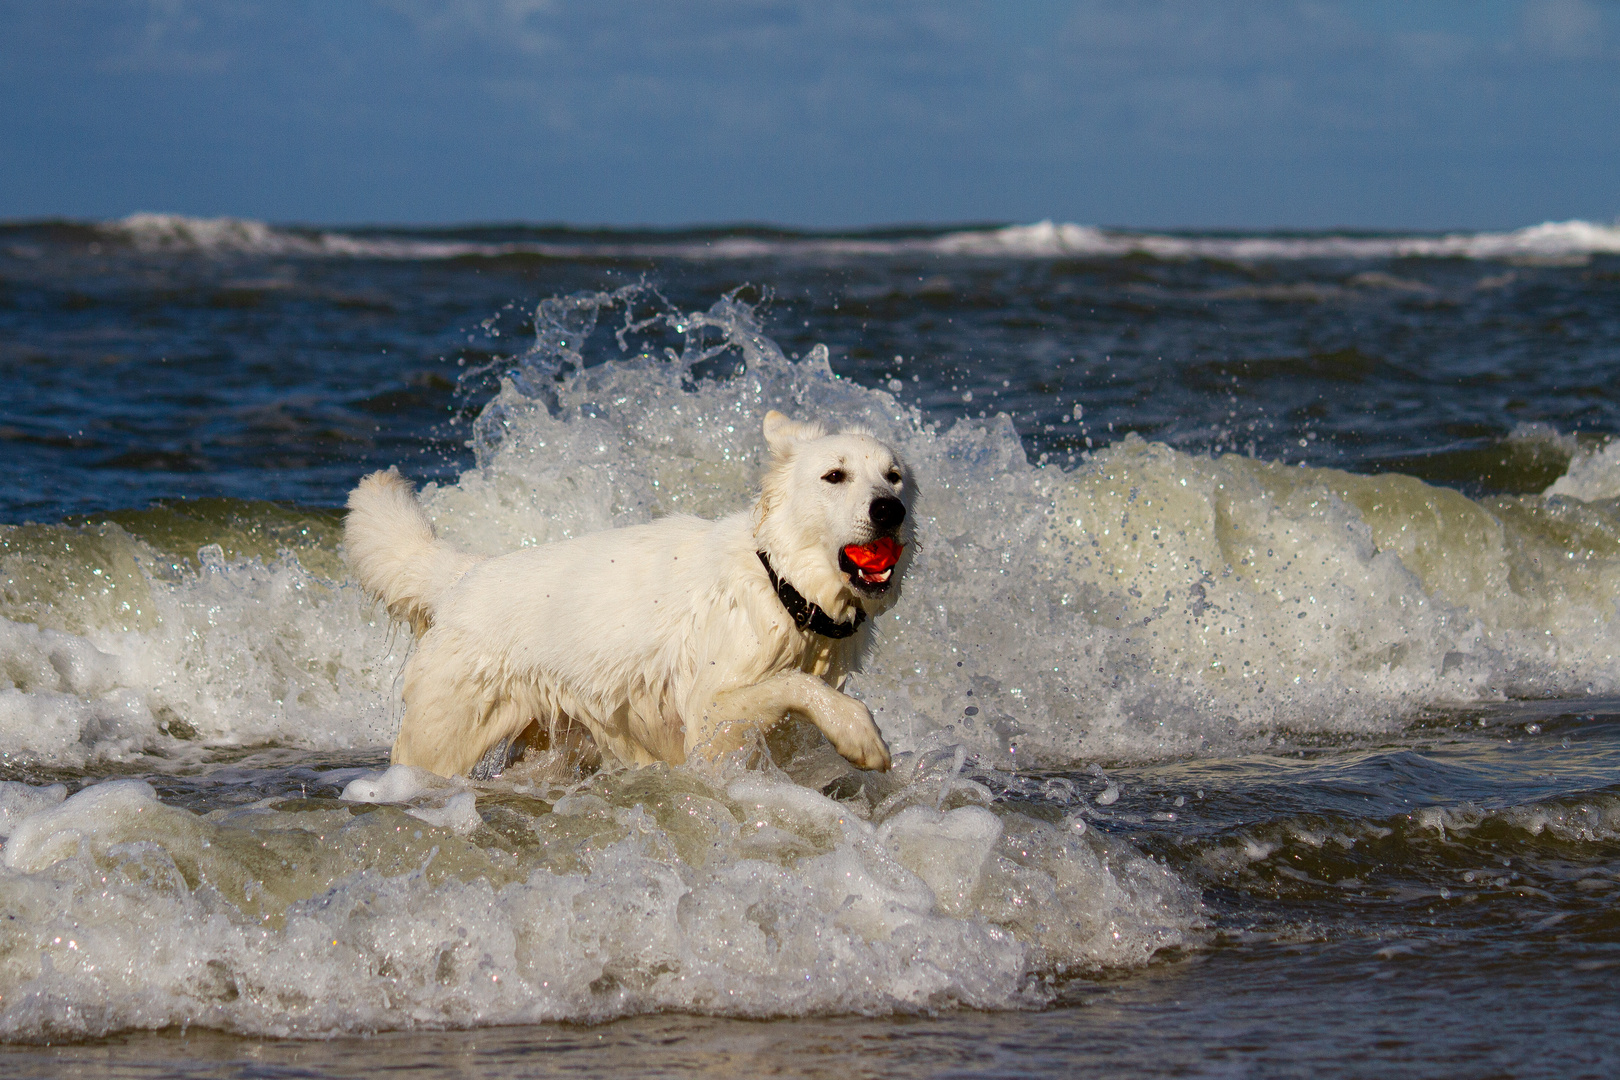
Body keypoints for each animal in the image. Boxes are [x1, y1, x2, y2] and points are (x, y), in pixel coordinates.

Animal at [345, 411, 913, 777]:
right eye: (834, 476)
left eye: (894, 477)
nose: (890, 510)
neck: (782, 584)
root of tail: (463, 575)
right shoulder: (709, 716)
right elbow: (796, 685)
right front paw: (859, 733)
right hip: (440, 740)